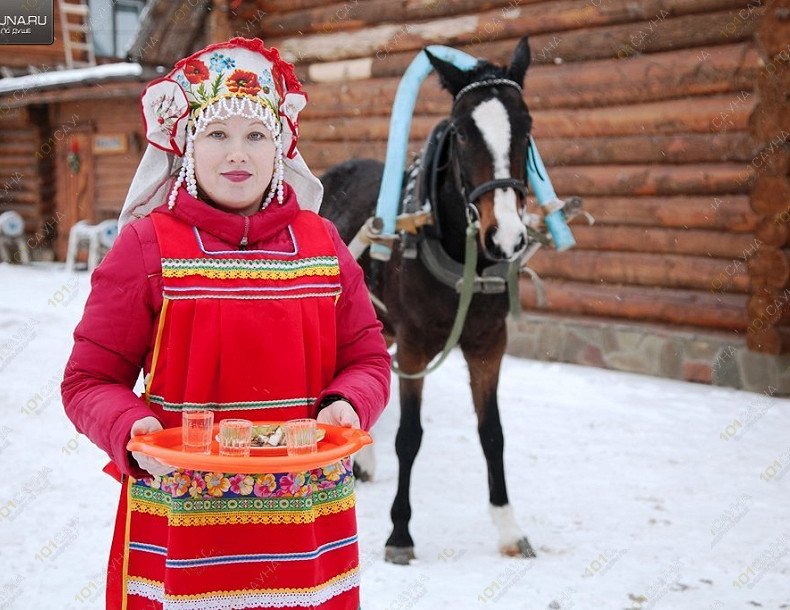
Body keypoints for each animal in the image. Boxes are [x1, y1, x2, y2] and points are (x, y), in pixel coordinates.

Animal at [320, 35, 540, 564]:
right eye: (459, 132)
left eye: (526, 125)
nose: (506, 238)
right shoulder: (417, 345)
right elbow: (410, 436)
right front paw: (400, 532)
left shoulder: (489, 344)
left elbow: (492, 433)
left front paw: (508, 527)